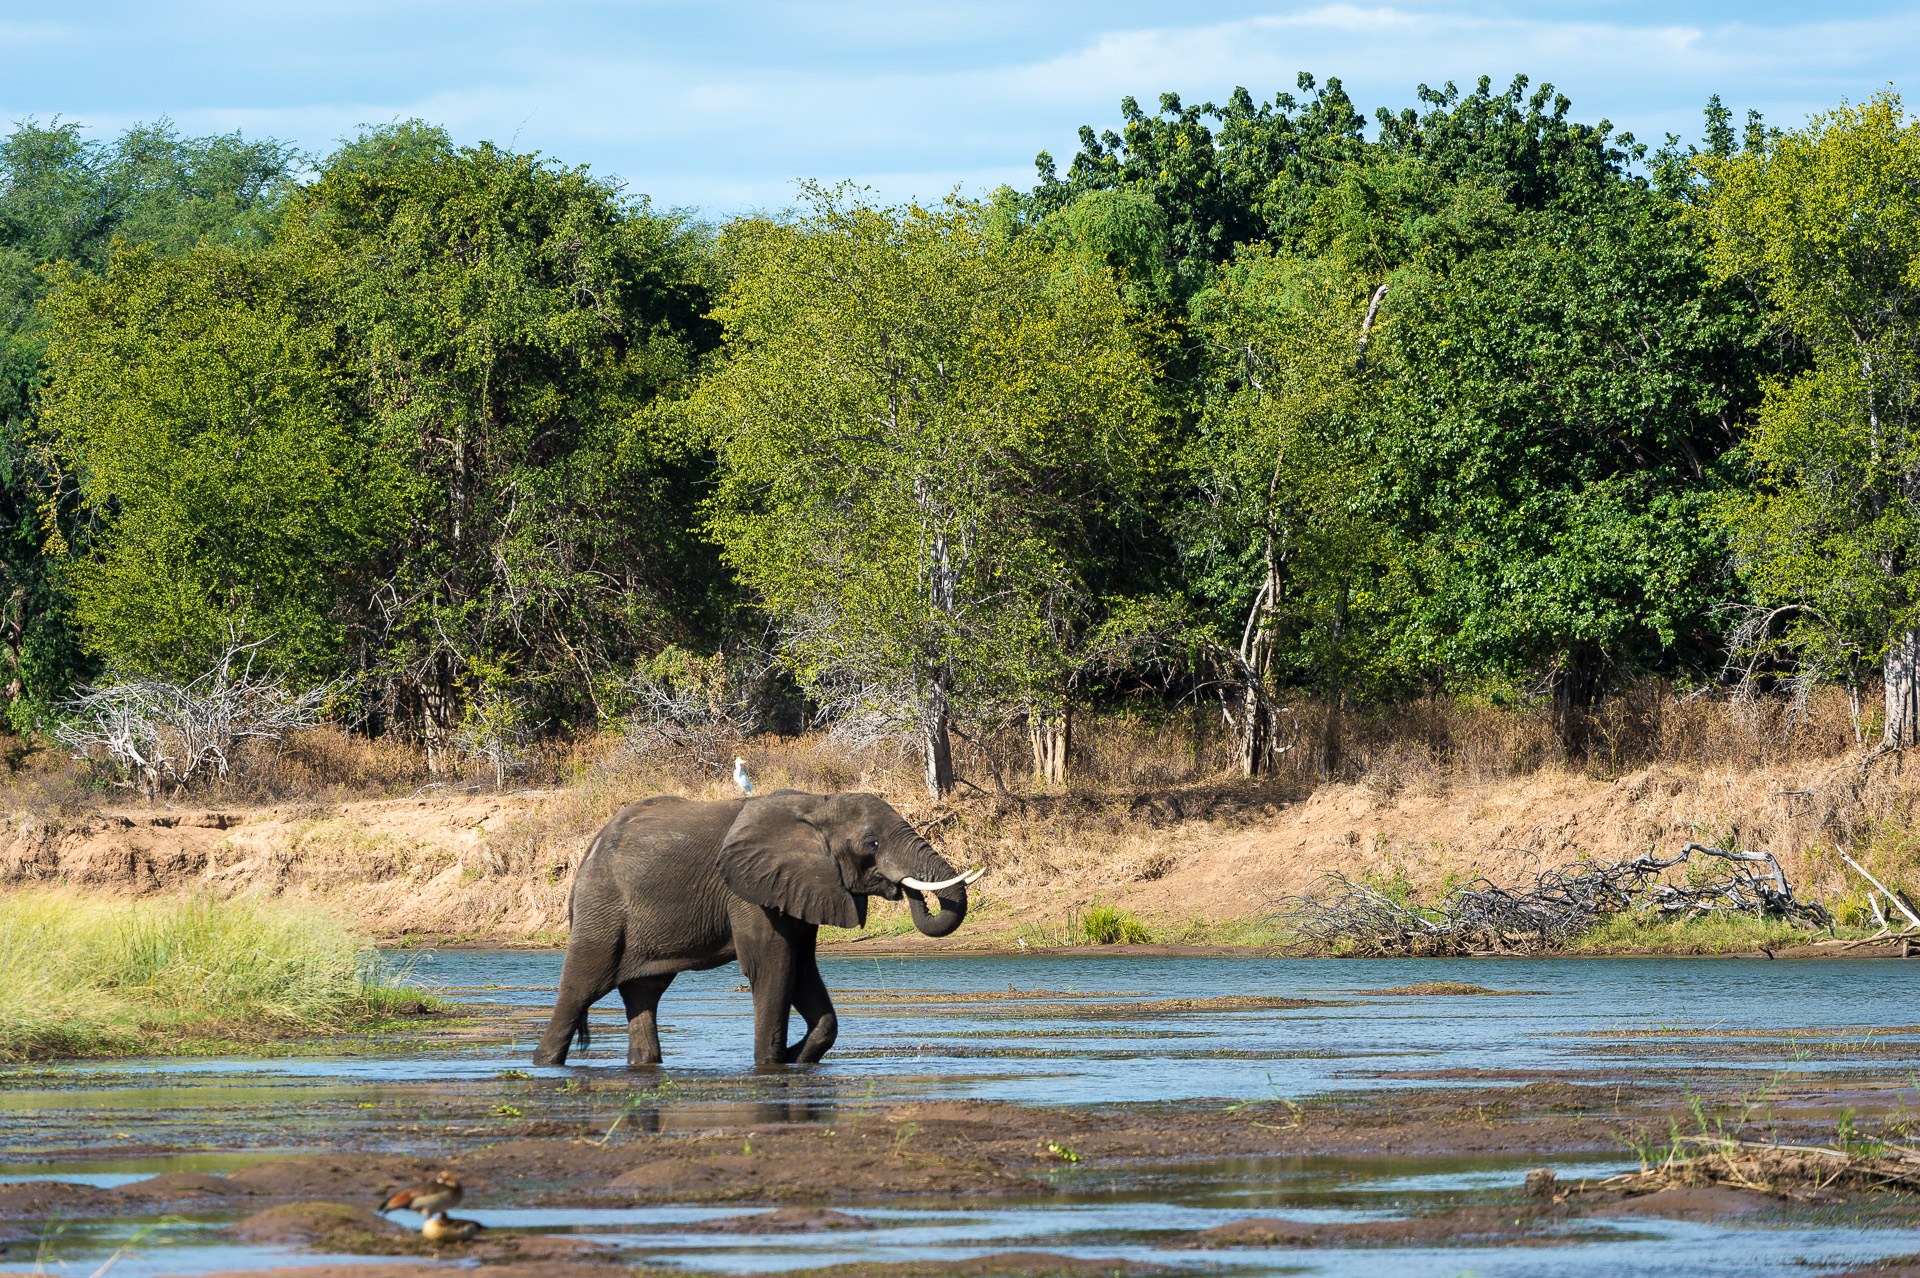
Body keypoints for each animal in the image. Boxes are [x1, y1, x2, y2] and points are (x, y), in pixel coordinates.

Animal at [532, 789, 979, 1068]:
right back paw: (544, 1062)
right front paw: (772, 1061)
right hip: (602, 909)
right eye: (871, 844)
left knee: (644, 993)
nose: (902, 887)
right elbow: (773, 966)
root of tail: (588, 850)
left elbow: (803, 970)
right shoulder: (748, 890)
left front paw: (797, 1056)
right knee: (580, 988)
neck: (818, 805)